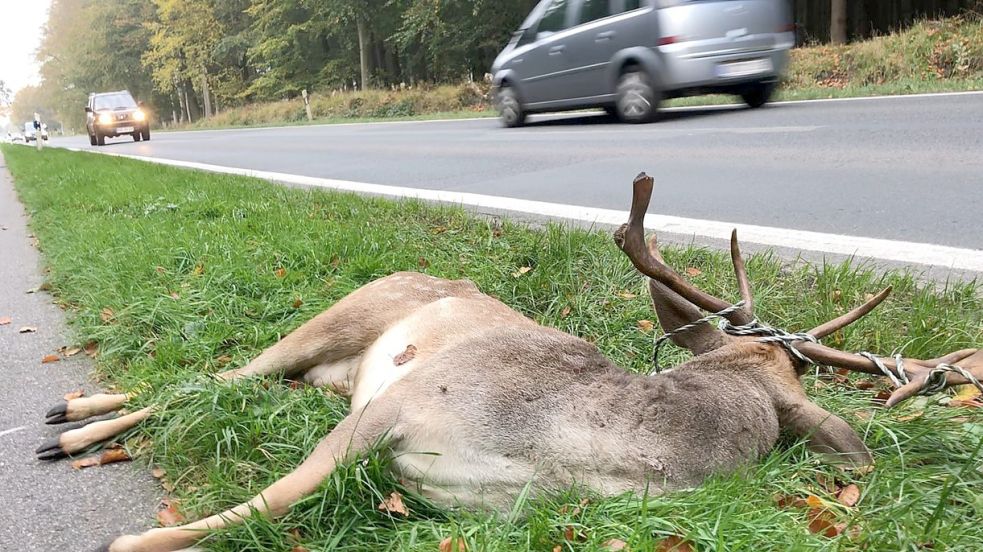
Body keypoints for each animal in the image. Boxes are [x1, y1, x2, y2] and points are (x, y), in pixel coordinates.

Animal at [34, 174, 980, 552]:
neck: (569, 454)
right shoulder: (393, 409)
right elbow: (266, 501)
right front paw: (132, 539)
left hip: (330, 377)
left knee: (238, 384)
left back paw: (72, 421)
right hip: (342, 317)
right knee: (212, 380)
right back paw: (69, 423)